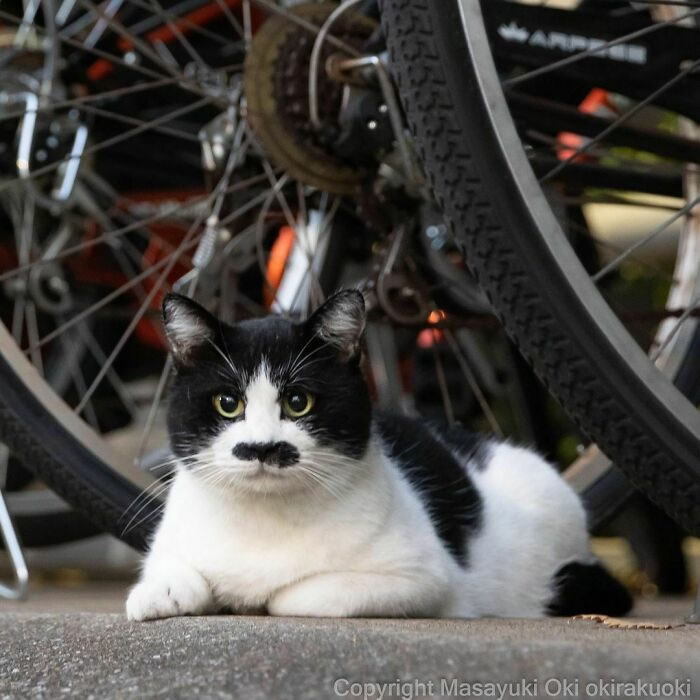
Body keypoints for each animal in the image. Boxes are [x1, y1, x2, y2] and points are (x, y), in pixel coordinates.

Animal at [126, 292, 636, 620]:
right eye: (227, 404)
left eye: (299, 402)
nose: (263, 447)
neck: (262, 520)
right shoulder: (172, 546)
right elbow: (169, 575)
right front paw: (157, 595)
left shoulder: (424, 579)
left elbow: (299, 595)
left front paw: (252, 598)